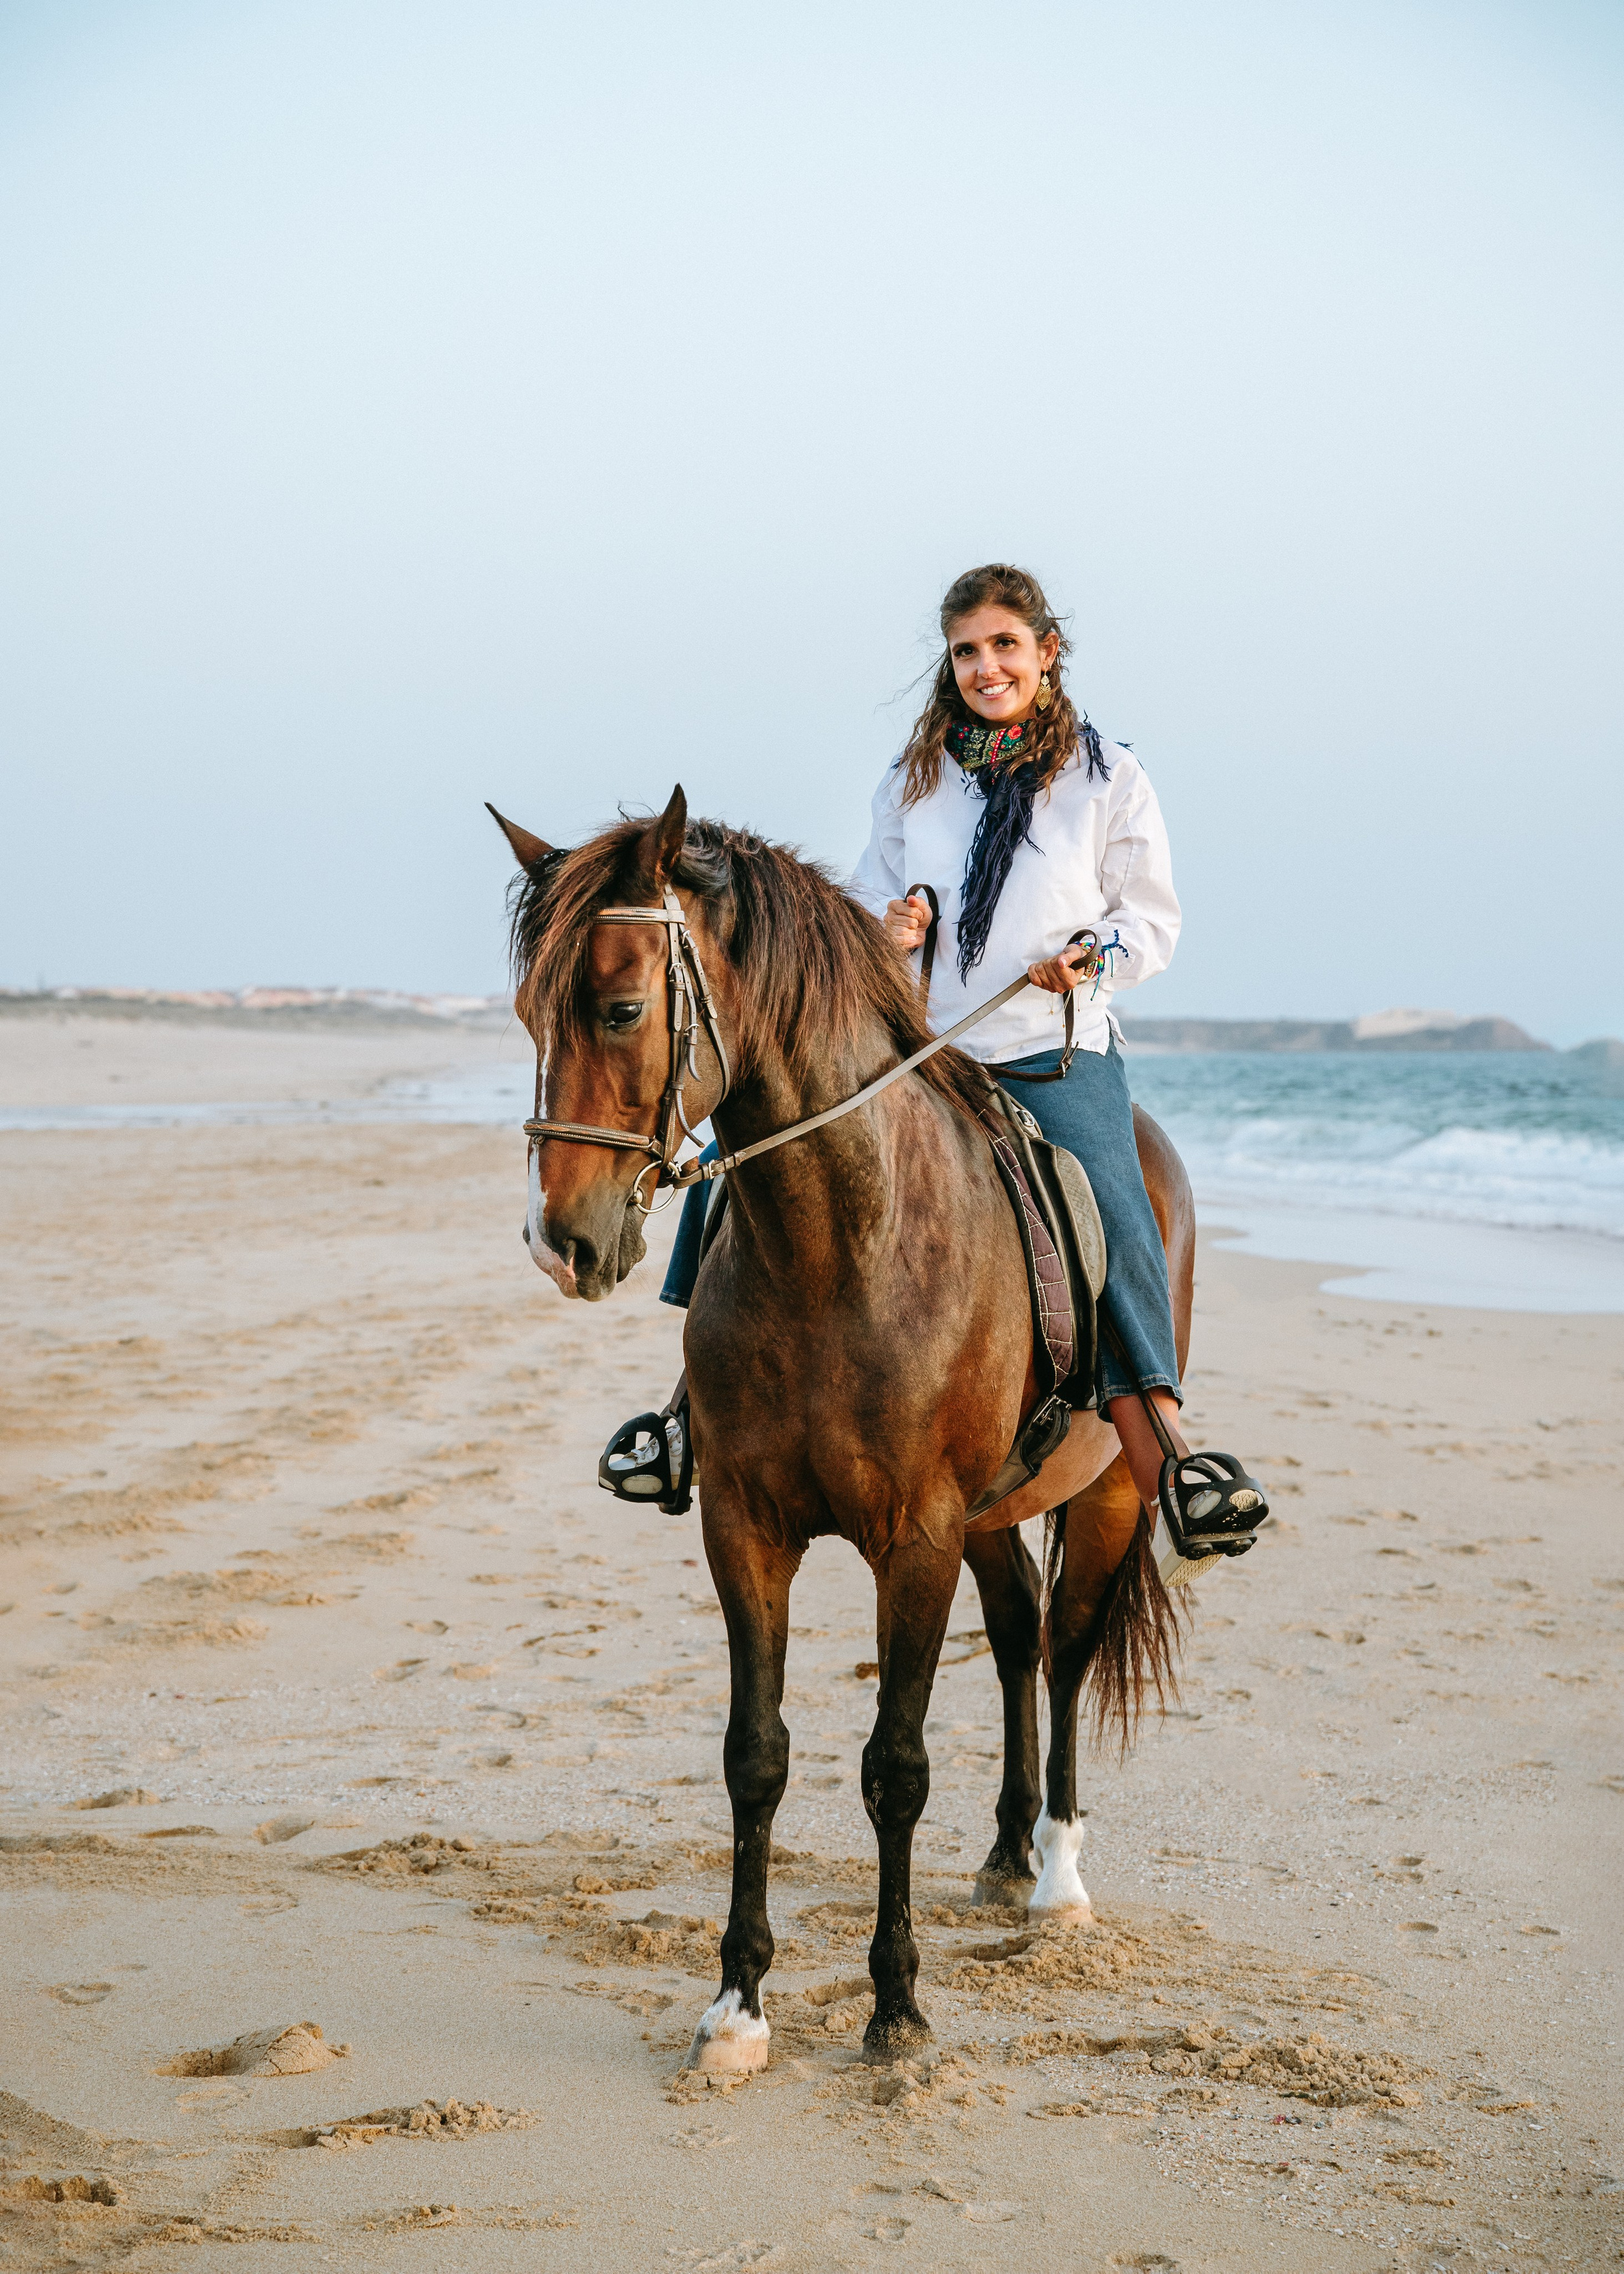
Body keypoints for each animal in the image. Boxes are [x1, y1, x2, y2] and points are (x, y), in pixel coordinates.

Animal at [495, 785, 1192, 2073]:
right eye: (528, 1014)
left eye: (622, 1009)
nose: (558, 1242)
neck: (841, 1245)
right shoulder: (746, 1528)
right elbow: (755, 1756)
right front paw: (737, 2007)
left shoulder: (913, 1538)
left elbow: (896, 1766)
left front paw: (896, 2006)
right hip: (993, 1513)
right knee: (1017, 1637)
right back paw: (1006, 1849)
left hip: (1109, 1489)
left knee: (1067, 1648)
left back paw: (1056, 1874)